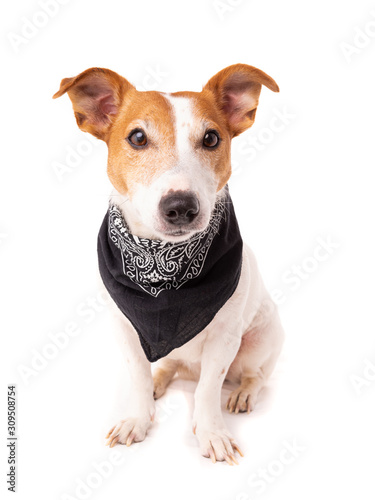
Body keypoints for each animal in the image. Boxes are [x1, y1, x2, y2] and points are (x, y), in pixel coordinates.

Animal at [54, 63, 284, 464]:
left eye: (211, 138)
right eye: (137, 138)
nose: (180, 206)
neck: (162, 265)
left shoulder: (225, 338)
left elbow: (209, 389)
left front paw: (211, 433)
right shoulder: (125, 327)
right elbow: (137, 375)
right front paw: (137, 417)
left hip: (262, 338)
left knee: (253, 375)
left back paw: (243, 392)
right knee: (167, 366)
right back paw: (160, 381)